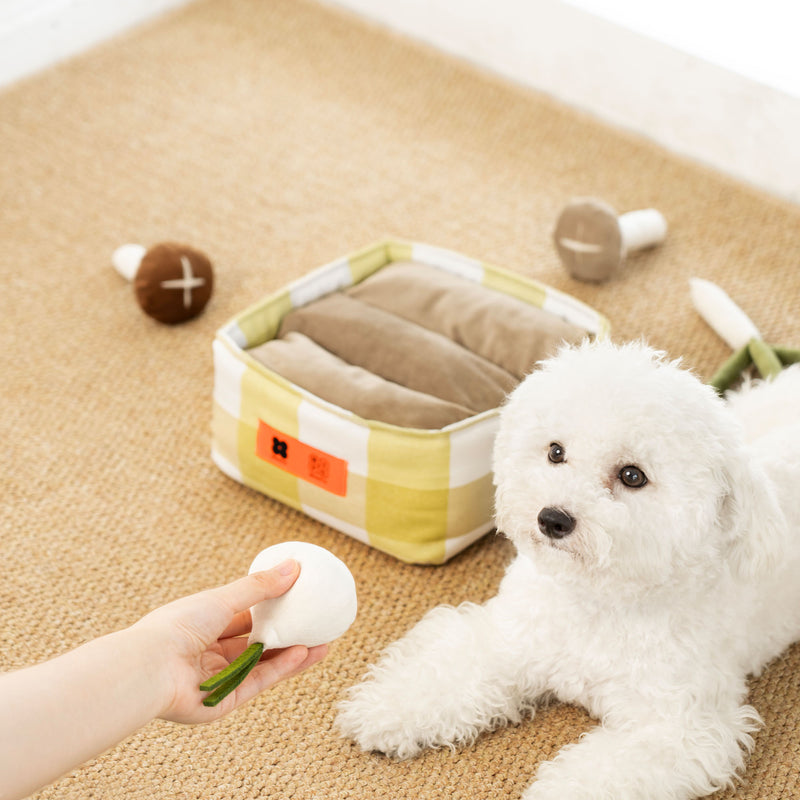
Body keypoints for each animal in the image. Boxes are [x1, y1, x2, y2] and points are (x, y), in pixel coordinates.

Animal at [336, 340, 800, 796]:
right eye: (555, 452)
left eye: (633, 475)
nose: (553, 519)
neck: (593, 602)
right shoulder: (508, 638)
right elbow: (447, 671)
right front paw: (390, 706)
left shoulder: (679, 728)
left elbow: (601, 774)